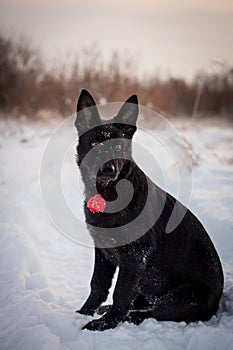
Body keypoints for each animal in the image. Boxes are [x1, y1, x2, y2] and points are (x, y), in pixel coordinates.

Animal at [75, 89, 224, 330]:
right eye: (95, 142)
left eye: (118, 146)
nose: (107, 169)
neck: (110, 195)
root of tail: (218, 302)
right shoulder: (103, 249)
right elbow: (97, 284)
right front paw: (84, 312)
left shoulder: (135, 256)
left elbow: (121, 292)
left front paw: (106, 323)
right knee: (141, 301)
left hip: (180, 298)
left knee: (154, 312)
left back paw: (129, 316)